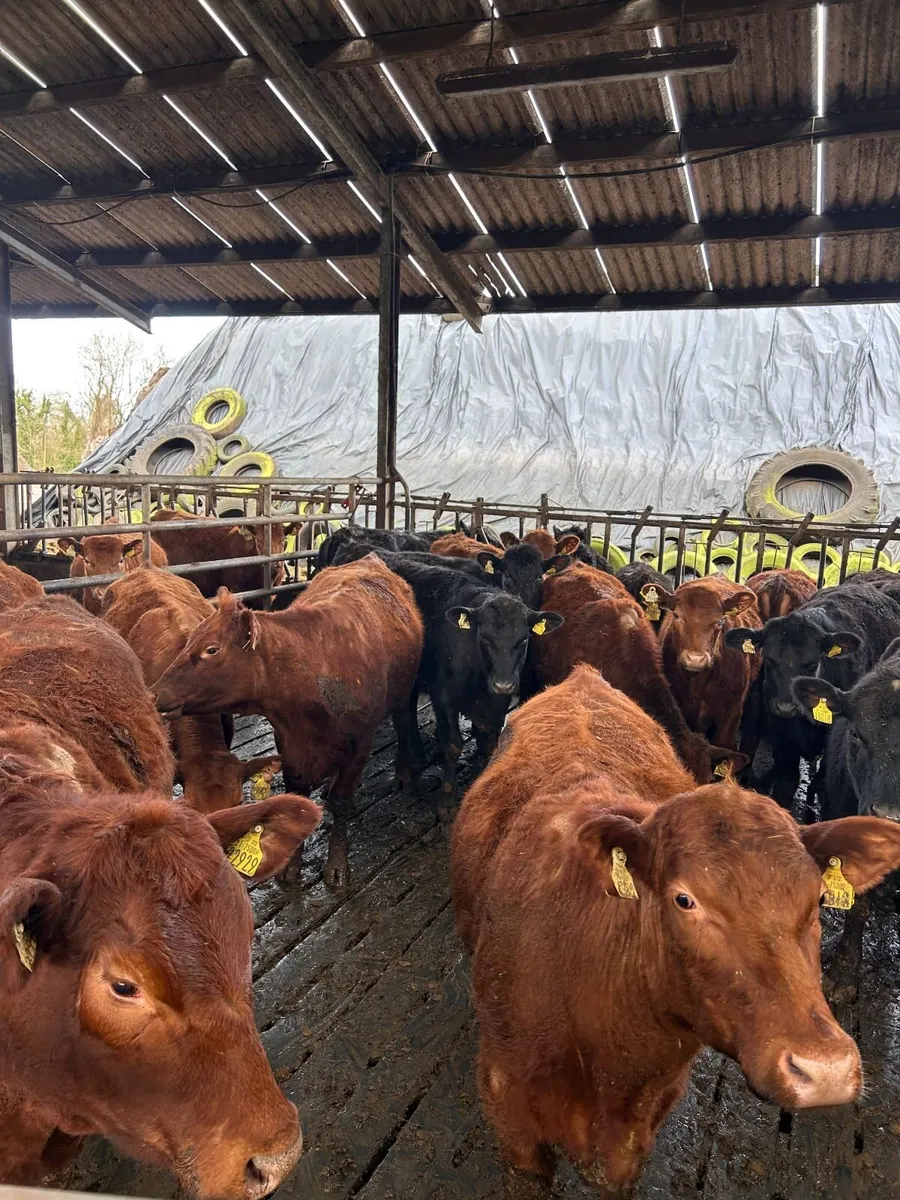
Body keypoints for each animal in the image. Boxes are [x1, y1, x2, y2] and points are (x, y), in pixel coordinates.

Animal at [153, 554, 424, 889]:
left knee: (404, 725)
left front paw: (337, 865)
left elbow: (342, 801)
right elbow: (296, 793)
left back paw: (404, 773)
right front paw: (291, 864)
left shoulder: (360, 742)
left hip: (404, 694)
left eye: (211, 649)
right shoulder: (288, 741)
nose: (155, 693)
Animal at [368, 555, 563, 795]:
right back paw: (404, 775)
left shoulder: (497, 703)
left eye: (524, 639)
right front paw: (447, 799)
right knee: (402, 719)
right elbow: (453, 744)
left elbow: (489, 742)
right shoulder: (443, 697)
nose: (503, 684)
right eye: (483, 638)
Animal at [452, 664, 900, 1194]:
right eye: (684, 899)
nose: (825, 1068)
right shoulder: (512, 1117)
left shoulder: (636, 1134)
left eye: (817, 901)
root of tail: (582, 677)